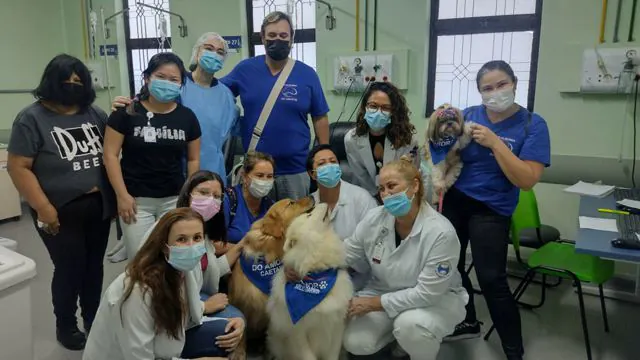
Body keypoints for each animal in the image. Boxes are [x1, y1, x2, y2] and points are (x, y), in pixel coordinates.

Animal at [228, 195, 316, 358]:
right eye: (291, 203)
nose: (312, 196)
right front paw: (239, 353)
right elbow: (241, 330)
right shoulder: (240, 304)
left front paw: (270, 352)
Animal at [266, 204, 356, 358]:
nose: (322, 203)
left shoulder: (337, 326)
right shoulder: (298, 333)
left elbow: (332, 355)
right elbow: (307, 355)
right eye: (309, 215)